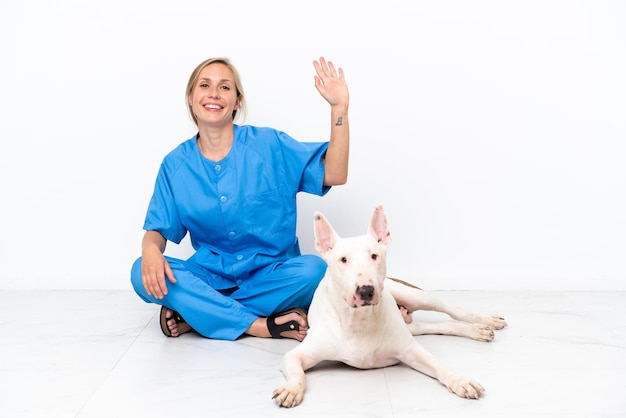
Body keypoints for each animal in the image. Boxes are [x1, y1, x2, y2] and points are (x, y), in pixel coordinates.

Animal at [272, 204, 508, 406]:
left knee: (452, 310)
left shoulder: (410, 350)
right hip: (410, 324)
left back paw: (484, 322)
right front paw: (291, 389)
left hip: (414, 297)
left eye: (374, 255)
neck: (359, 321)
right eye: (343, 260)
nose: (366, 290)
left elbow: (438, 365)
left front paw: (460, 381)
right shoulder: (296, 356)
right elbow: (297, 373)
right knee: (438, 326)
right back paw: (477, 331)